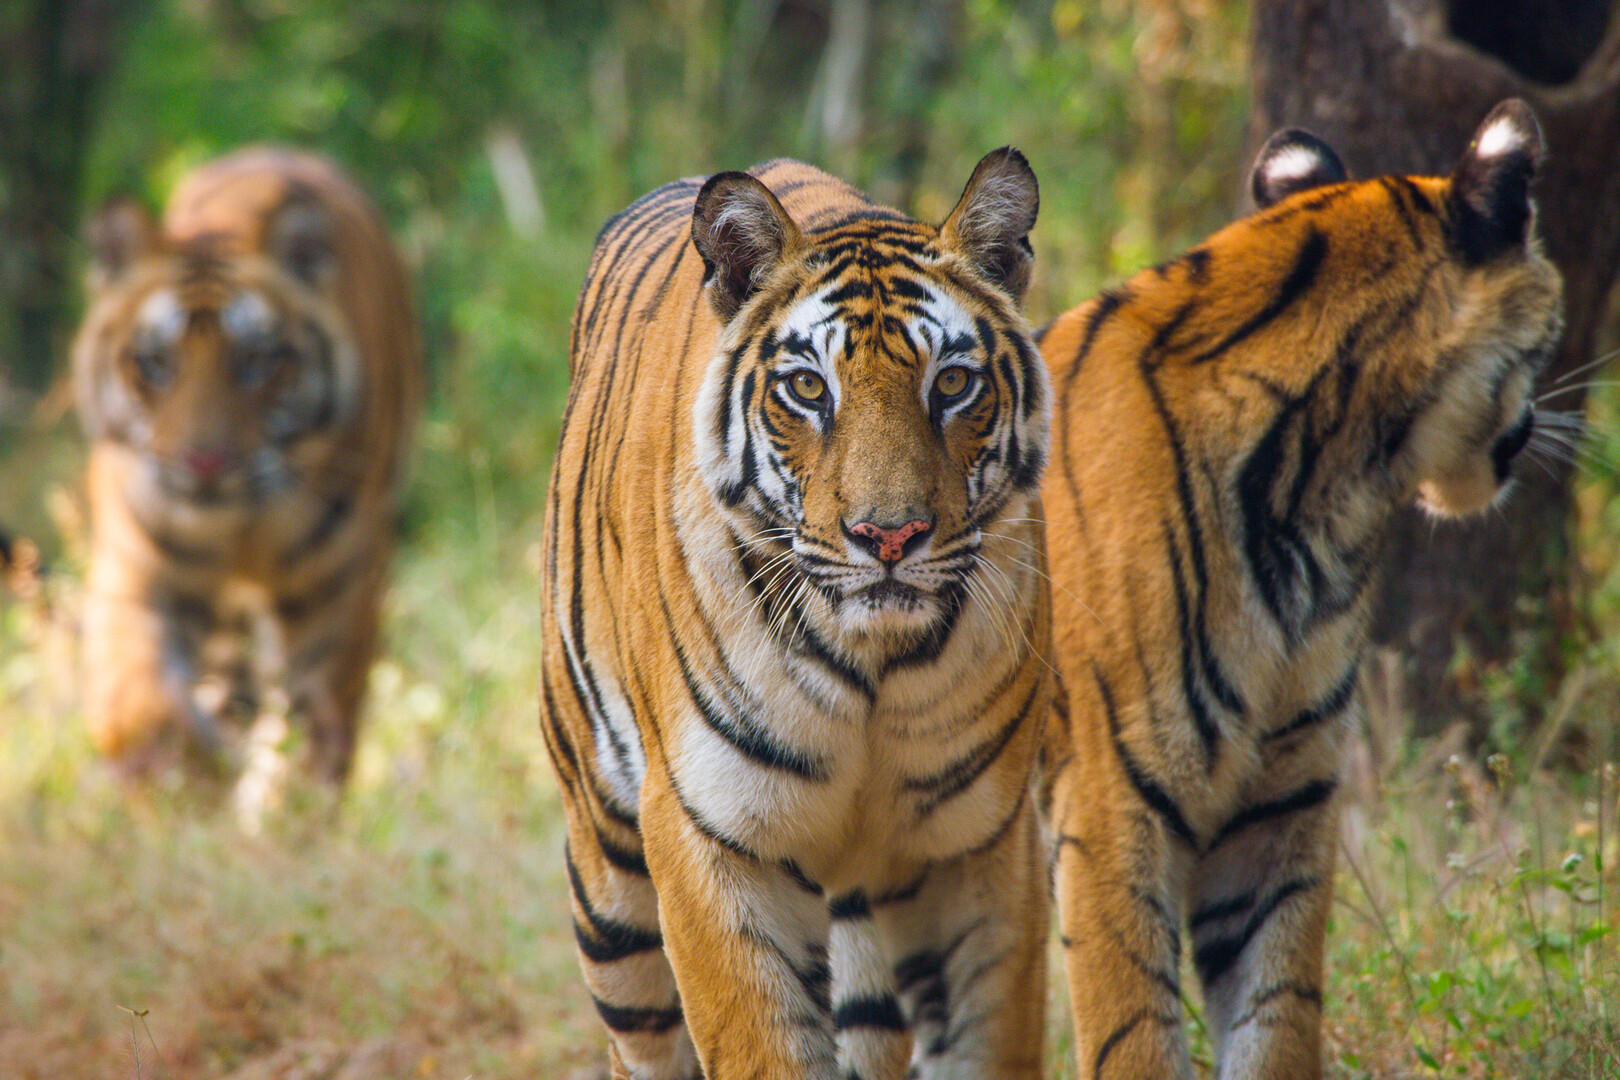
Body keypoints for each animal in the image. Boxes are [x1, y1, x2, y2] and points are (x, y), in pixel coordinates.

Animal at [72, 147, 423, 790]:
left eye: (257, 360)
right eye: (155, 363)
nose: (204, 460)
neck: (240, 522)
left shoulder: (339, 583)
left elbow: (314, 716)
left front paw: (289, 799)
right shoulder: (140, 568)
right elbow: (143, 698)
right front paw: (176, 774)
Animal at [539, 150, 1052, 1079]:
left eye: (953, 383)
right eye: (809, 389)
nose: (890, 536)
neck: (874, 657)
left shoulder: (981, 843)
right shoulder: (713, 838)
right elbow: (760, 1045)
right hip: (607, 876)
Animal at [1036, 99, 1563, 1079]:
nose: (1533, 427)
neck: (1322, 502)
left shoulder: (1280, 800)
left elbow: (1276, 1015)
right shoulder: (1109, 803)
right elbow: (1134, 1030)